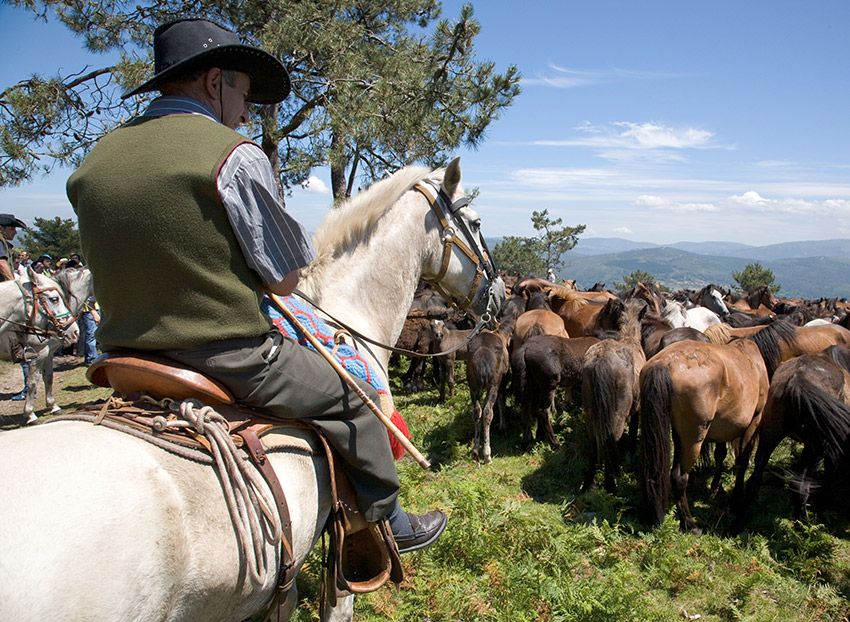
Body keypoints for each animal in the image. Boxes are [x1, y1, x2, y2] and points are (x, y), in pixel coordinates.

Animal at [0, 270, 79, 422]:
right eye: (54, 299)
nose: (75, 332)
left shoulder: (49, 353)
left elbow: (48, 377)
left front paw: (53, 406)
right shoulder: (39, 353)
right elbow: (32, 381)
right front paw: (30, 414)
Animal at [580, 300, 644, 494]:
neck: (629, 338)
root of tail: (602, 358)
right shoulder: (637, 409)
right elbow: (632, 432)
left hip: (590, 413)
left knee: (594, 444)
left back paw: (589, 483)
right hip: (617, 416)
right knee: (611, 440)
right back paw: (611, 485)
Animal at [636, 338, 768, 532]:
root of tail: (665, 363)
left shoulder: (723, 429)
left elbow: (720, 454)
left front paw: (715, 488)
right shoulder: (754, 422)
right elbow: (742, 462)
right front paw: (736, 500)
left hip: (678, 437)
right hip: (693, 440)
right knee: (679, 477)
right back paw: (690, 524)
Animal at [724, 346, 848, 532]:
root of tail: (798, 377)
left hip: (770, 435)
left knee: (755, 479)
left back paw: (738, 523)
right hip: (815, 446)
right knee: (801, 485)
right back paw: (803, 524)